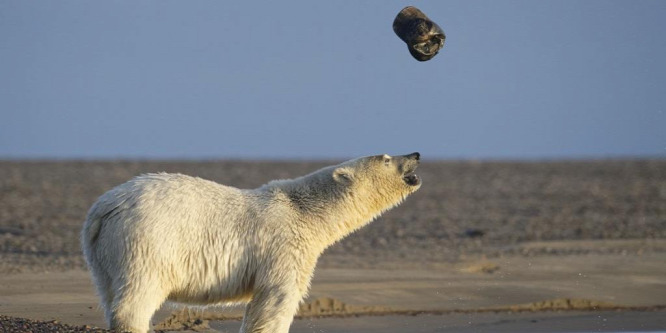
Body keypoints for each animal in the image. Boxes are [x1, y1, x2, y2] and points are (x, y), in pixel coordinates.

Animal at [80, 152, 418, 330]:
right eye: (386, 158)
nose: (415, 154)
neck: (305, 210)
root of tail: (105, 207)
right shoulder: (285, 246)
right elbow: (278, 299)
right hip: (148, 240)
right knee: (138, 296)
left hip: (101, 251)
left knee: (109, 292)